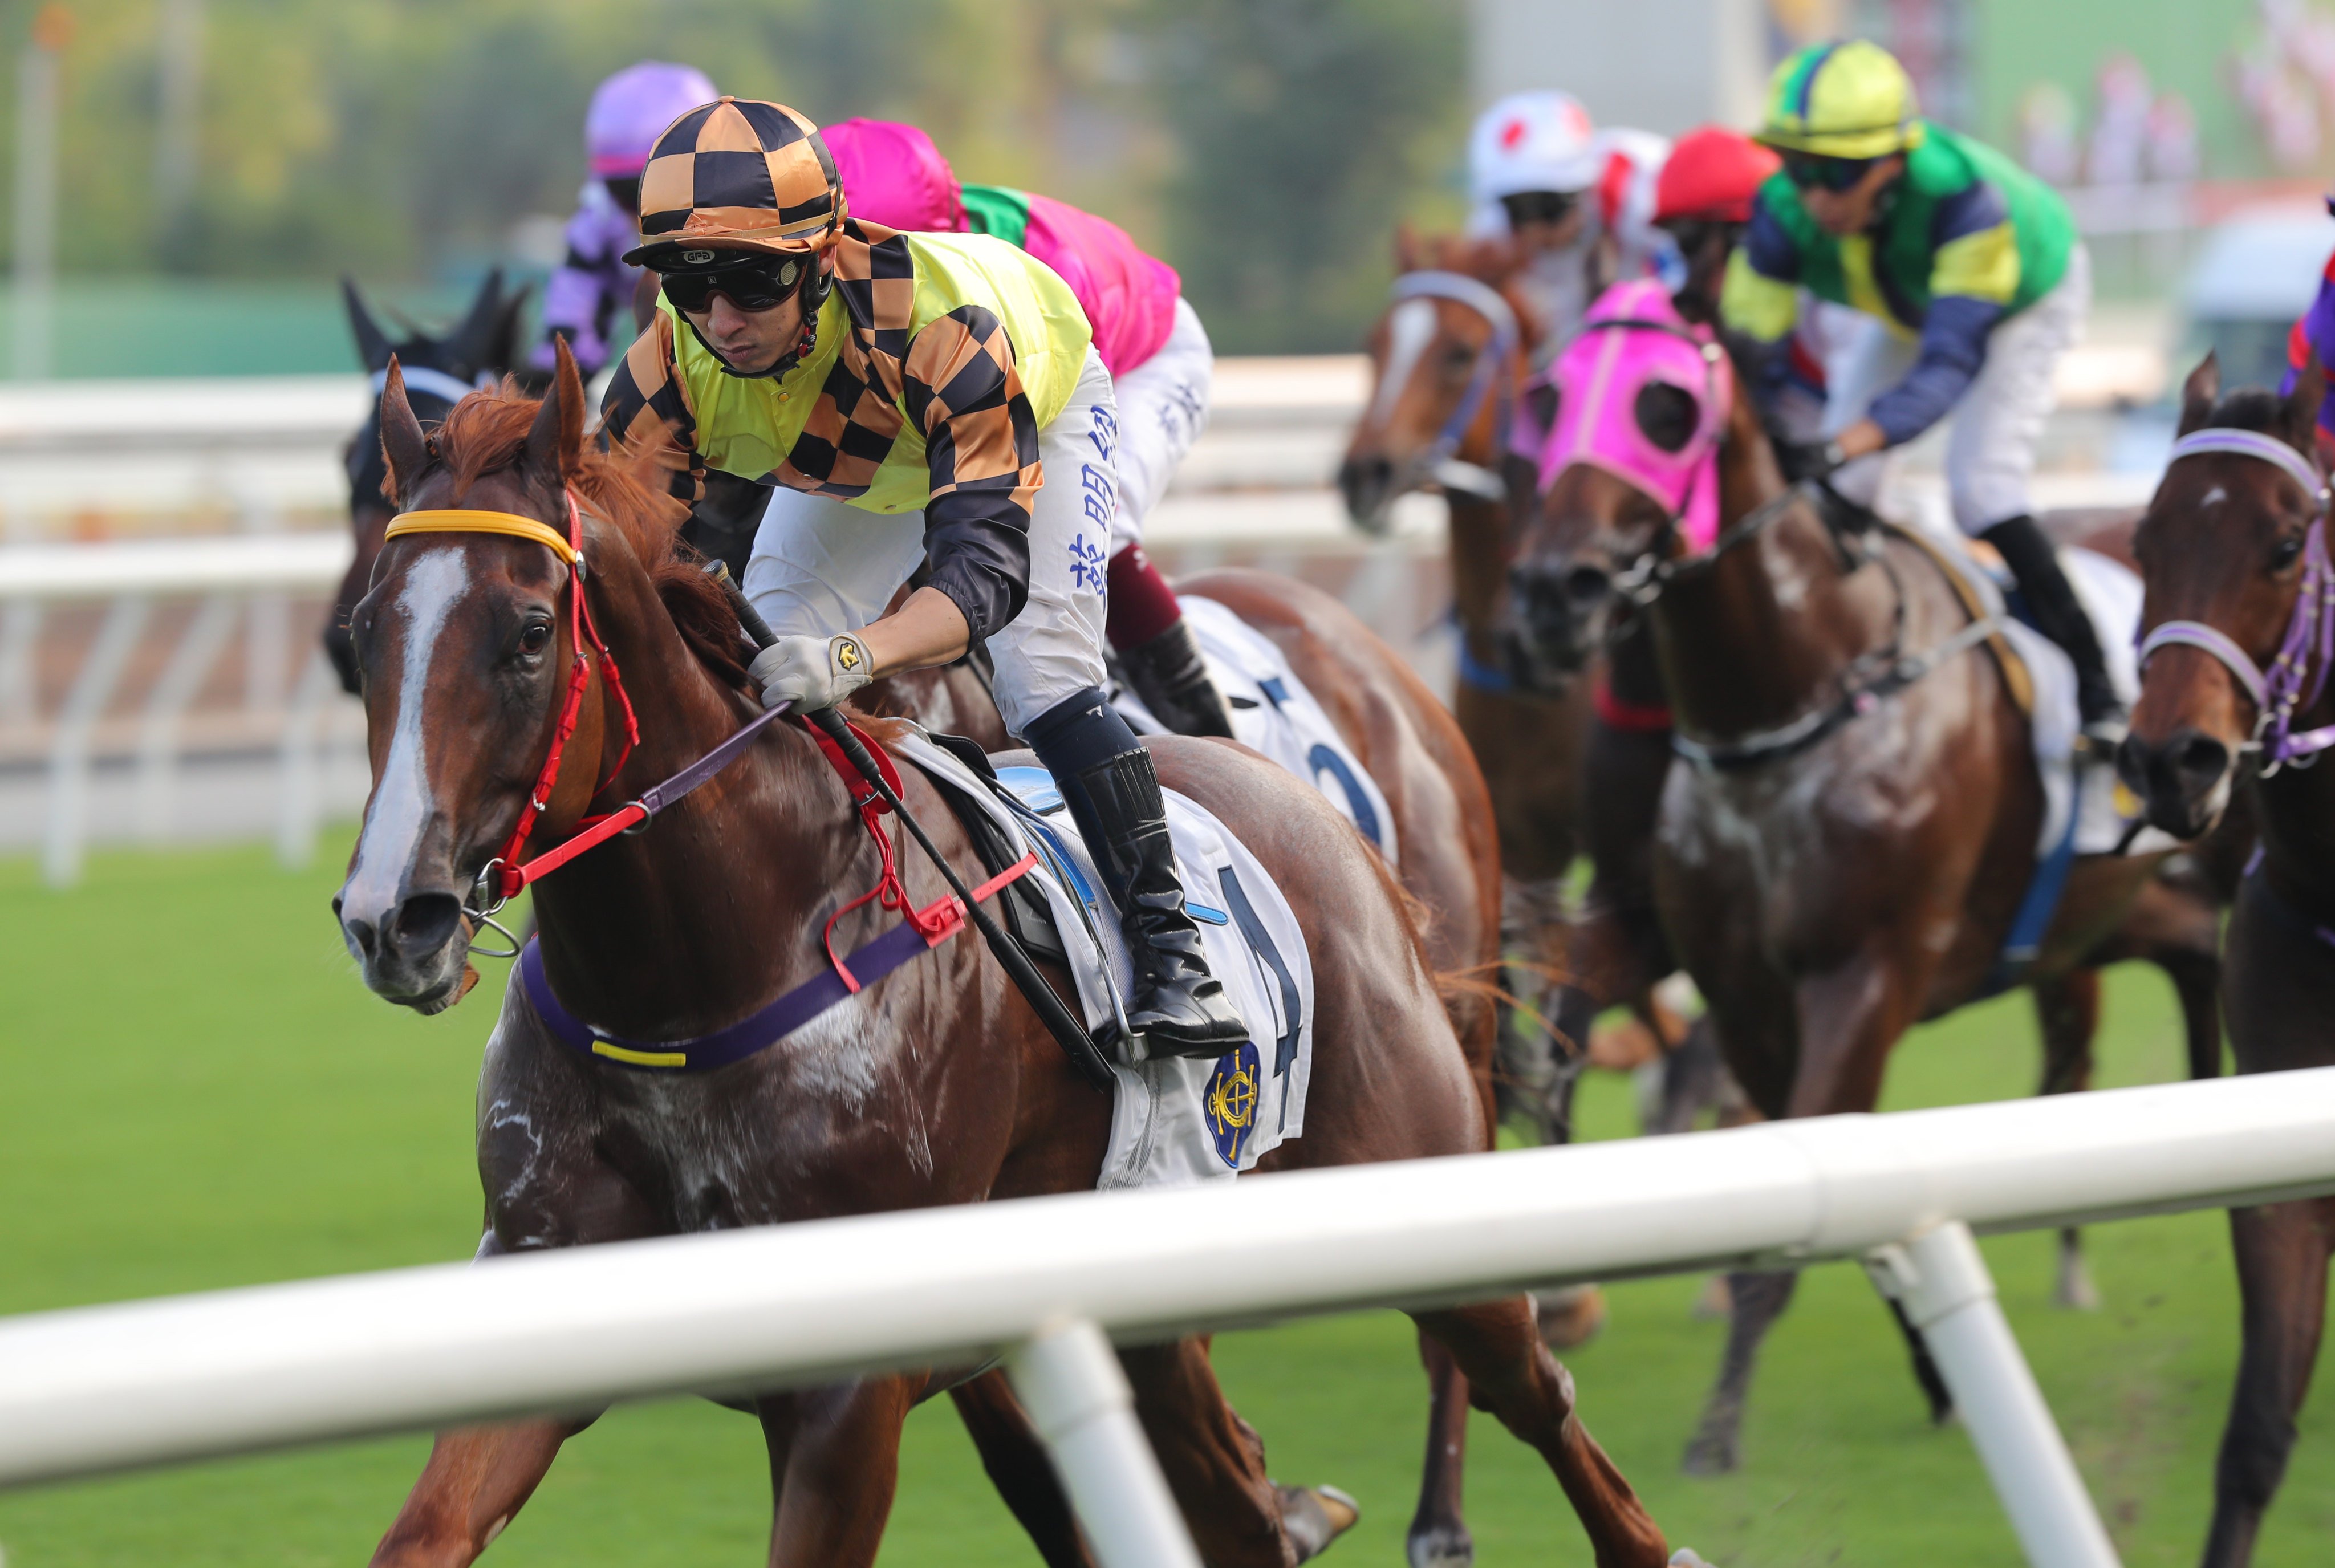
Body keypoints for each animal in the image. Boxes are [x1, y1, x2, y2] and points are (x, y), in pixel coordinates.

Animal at [334, 352, 1681, 1568]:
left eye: (526, 634)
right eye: (362, 631)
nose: (394, 917)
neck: (691, 975)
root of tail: (1315, 815)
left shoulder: (853, 1385)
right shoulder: (550, 1280)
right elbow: (422, 1534)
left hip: (1419, 1169)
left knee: (1529, 1390)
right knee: (1240, 1509)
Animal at [1513, 350, 2223, 1474]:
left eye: (1666, 408)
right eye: (1545, 397)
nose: (1552, 594)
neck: (1797, 692)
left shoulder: (1860, 971)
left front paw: (1717, 1430)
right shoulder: (1720, 968)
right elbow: (1580, 1050)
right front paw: (1935, 1373)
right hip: (2109, 916)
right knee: (2181, 969)